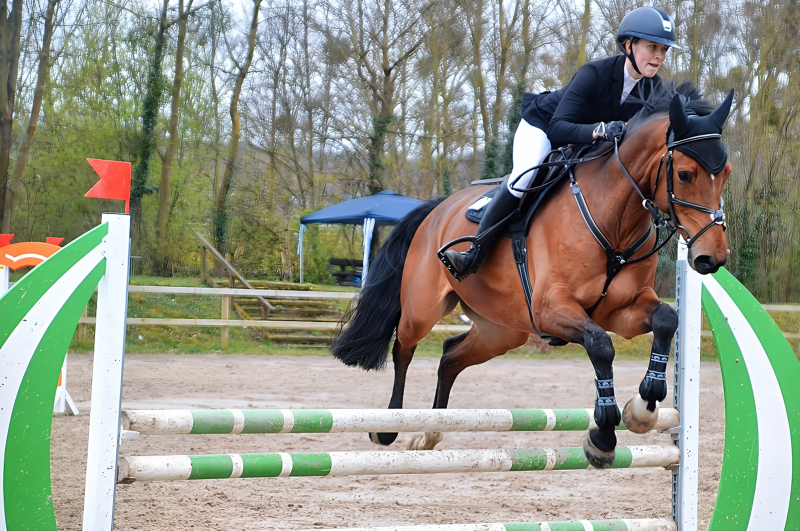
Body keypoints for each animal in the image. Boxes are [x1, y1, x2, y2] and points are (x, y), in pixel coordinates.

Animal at [328, 81, 736, 468]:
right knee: (404, 348)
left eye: (726, 174)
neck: (614, 217)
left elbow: (666, 319)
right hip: (423, 307)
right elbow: (600, 345)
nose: (711, 257)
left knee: (450, 356)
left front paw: (643, 408)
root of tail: (435, 209)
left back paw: (429, 434)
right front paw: (603, 436)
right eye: (684, 174)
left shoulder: (621, 310)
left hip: (501, 329)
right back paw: (389, 427)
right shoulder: (551, 309)